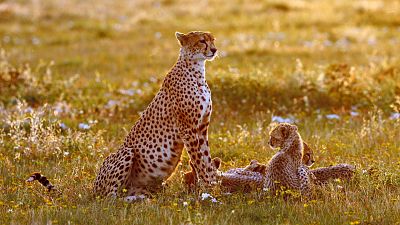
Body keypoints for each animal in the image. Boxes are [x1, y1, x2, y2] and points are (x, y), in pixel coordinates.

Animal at [94, 30, 219, 198]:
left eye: (213, 40)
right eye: (202, 41)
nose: (214, 50)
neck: (196, 71)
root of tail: (93, 187)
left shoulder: (202, 128)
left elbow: (206, 158)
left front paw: (214, 185)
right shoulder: (188, 129)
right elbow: (199, 160)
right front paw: (208, 188)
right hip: (127, 152)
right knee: (109, 198)